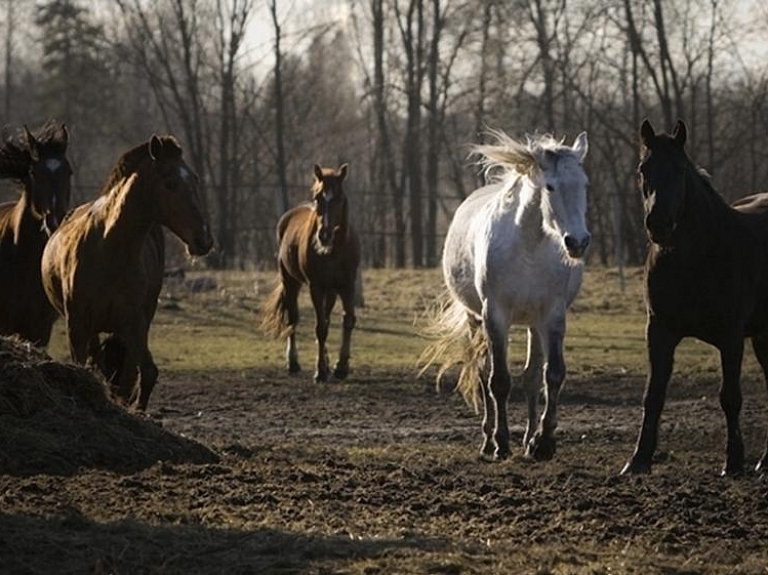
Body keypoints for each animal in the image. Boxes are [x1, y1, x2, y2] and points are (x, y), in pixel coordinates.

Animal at [40, 135, 212, 410]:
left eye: (195, 179)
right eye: (170, 183)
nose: (204, 239)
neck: (109, 250)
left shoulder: (134, 323)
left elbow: (145, 374)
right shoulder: (77, 325)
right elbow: (83, 368)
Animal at [262, 164, 362, 384]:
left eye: (339, 197)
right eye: (318, 197)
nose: (324, 235)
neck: (334, 251)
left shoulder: (346, 286)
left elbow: (347, 320)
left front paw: (341, 367)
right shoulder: (316, 287)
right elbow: (320, 328)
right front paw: (320, 371)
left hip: (331, 291)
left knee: (326, 318)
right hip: (290, 282)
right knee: (293, 319)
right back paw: (293, 362)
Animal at [424, 128, 592, 462]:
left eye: (584, 184)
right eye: (550, 186)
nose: (577, 242)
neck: (528, 246)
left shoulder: (552, 316)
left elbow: (552, 375)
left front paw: (543, 441)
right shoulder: (495, 316)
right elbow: (498, 381)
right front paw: (501, 442)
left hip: (532, 324)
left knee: (531, 377)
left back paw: (528, 439)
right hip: (476, 319)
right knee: (481, 373)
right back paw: (489, 441)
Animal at [620, 118, 768, 476]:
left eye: (679, 169)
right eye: (643, 169)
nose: (658, 224)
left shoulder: (731, 337)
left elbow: (730, 397)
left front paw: (733, 462)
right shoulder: (659, 331)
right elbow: (653, 395)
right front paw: (638, 460)